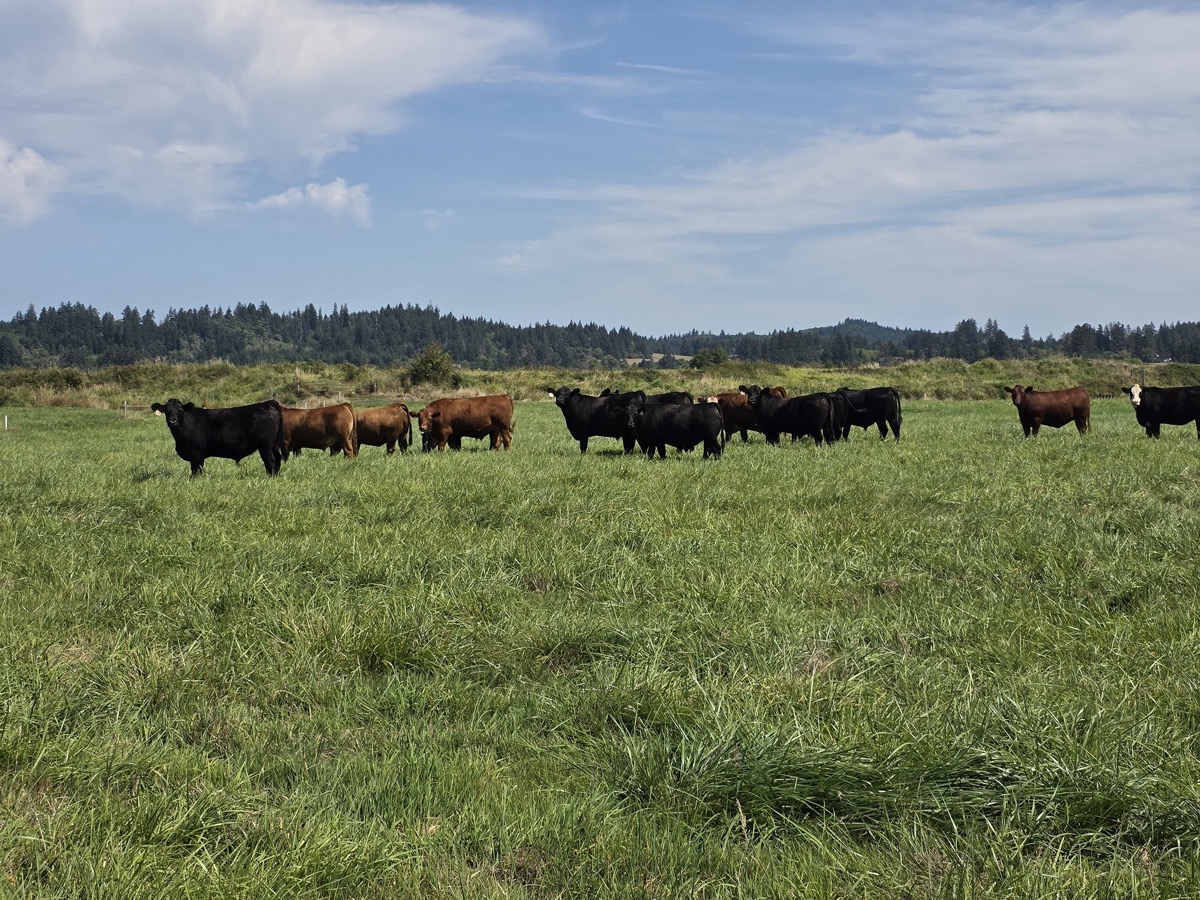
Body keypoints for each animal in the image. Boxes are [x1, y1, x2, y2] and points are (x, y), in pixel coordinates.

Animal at [151, 398, 284, 476]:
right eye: (167, 411)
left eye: (180, 411)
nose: (173, 421)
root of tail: (267, 403)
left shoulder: (196, 455)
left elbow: (196, 471)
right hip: (274, 444)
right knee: (278, 458)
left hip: (265, 445)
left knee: (270, 460)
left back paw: (270, 477)